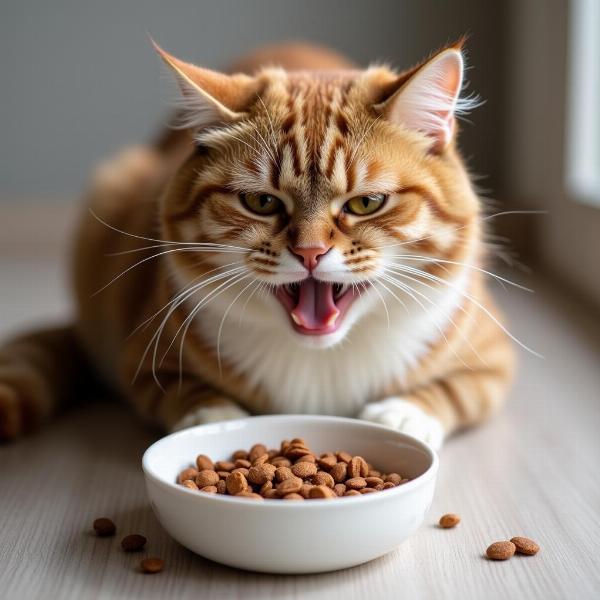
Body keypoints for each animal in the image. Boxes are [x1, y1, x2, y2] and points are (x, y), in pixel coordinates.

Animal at [0, 39, 516, 448]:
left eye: (366, 203)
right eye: (261, 202)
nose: (310, 253)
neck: (319, 364)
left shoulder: (492, 361)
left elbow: (453, 391)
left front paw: (401, 416)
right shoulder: (142, 363)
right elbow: (184, 392)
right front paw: (213, 419)